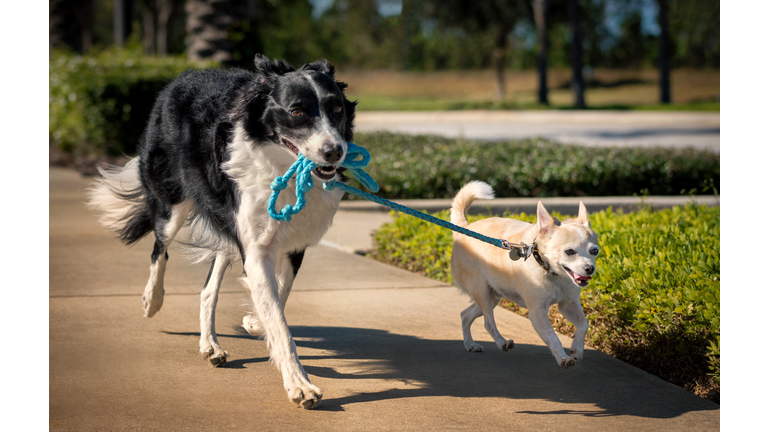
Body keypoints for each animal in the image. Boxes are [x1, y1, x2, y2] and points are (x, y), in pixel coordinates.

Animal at [87, 54, 356, 408]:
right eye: (297, 111)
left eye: (337, 109)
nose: (334, 151)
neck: (280, 165)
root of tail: (182, 77)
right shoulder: (254, 247)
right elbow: (280, 323)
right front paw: (299, 384)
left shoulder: (294, 241)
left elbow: (279, 295)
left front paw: (255, 321)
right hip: (174, 200)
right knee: (160, 249)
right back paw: (153, 300)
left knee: (207, 288)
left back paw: (209, 345)